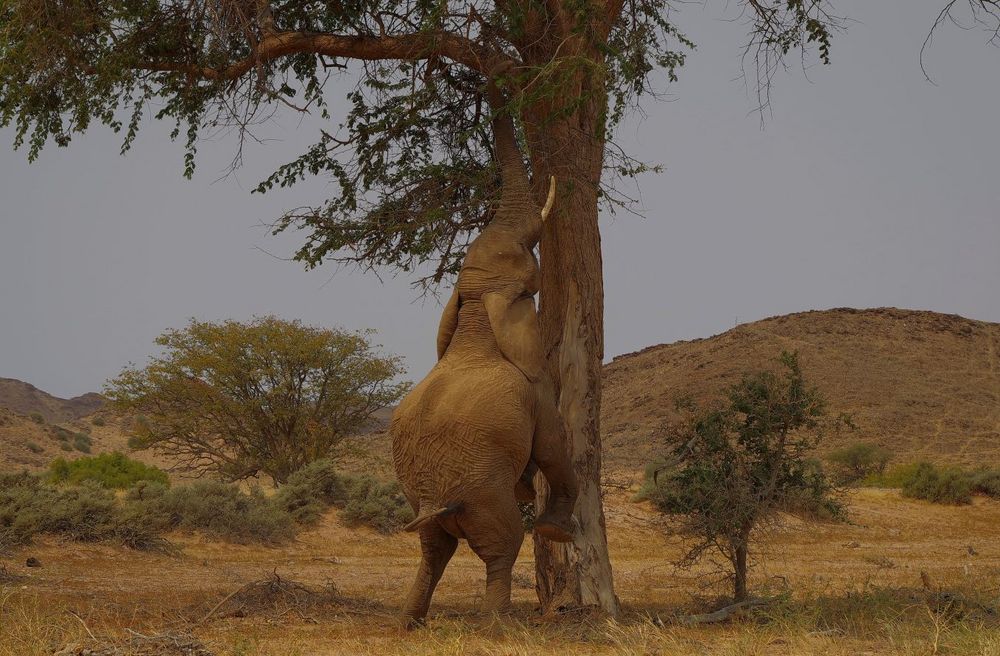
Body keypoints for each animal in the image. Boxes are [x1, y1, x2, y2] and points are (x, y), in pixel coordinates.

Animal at [390, 84, 580, 628]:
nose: (503, 88)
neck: (476, 310)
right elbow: (554, 447)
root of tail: (438, 500)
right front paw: (557, 529)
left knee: (433, 551)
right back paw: (497, 623)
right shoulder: (535, 391)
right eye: (529, 259)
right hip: (481, 492)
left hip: (422, 498)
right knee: (502, 547)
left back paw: (409, 621)